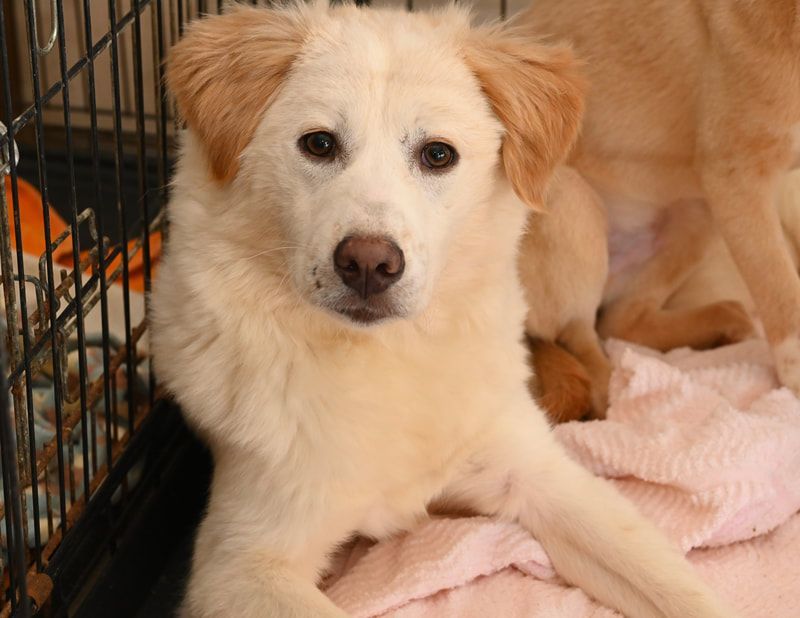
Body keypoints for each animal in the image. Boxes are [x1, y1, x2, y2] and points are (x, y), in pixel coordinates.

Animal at [153, 2, 736, 612]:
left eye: (437, 155)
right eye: (318, 144)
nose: (369, 264)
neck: (386, 359)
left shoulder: (540, 477)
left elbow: (675, 586)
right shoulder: (240, 563)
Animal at [520, 0, 796, 400]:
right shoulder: (737, 173)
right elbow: (780, 285)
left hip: (696, 211)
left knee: (620, 320)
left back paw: (722, 321)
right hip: (572, 200)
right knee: (584, 345)